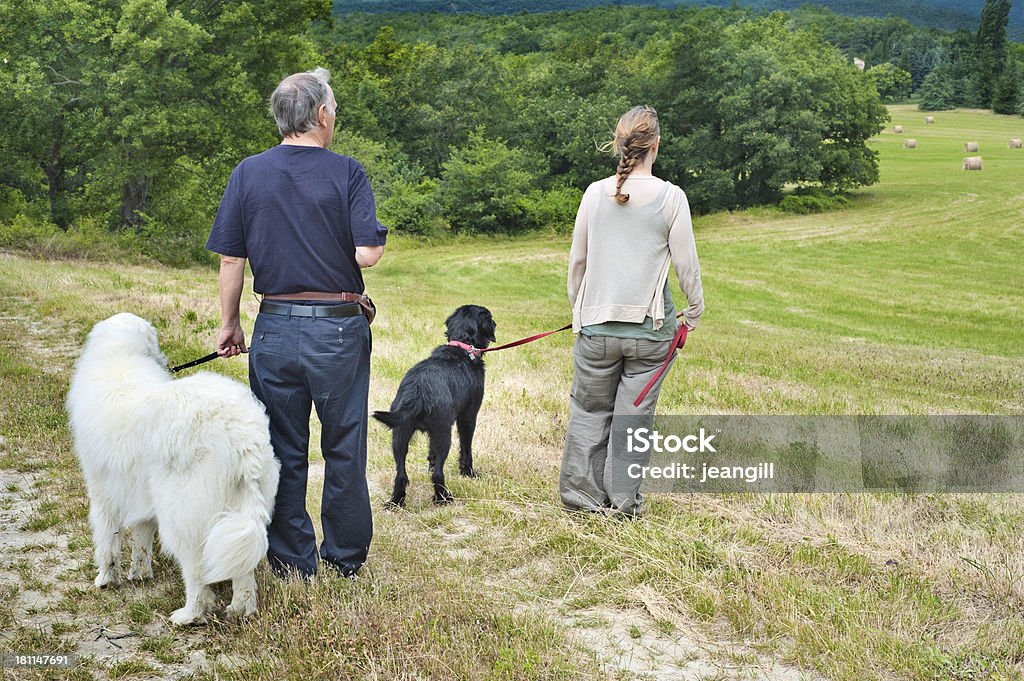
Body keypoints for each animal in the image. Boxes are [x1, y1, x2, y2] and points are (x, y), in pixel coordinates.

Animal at [68, 311, 280, 622]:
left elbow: (107, 540)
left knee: (197, 574)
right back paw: (239, 610)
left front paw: (106, 579)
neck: (121, 353)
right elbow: (141, 537)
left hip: (182, 516)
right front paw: (139, 573)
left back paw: (189, 615)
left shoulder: (102, 490)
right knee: (243, 569)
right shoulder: (139, 491)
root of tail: (240, 435)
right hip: (242, 507)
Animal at [372, 303, 495, 503]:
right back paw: (443, 498)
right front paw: (468, 473)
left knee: (401, 475)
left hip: (400, 435)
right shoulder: (467, 418)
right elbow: (466, 449)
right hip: (443, 433)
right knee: (438, 473)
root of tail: (417, 392)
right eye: (490, 317)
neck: (462, 347)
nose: (495, 323)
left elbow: (431, 456)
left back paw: (396, 501)